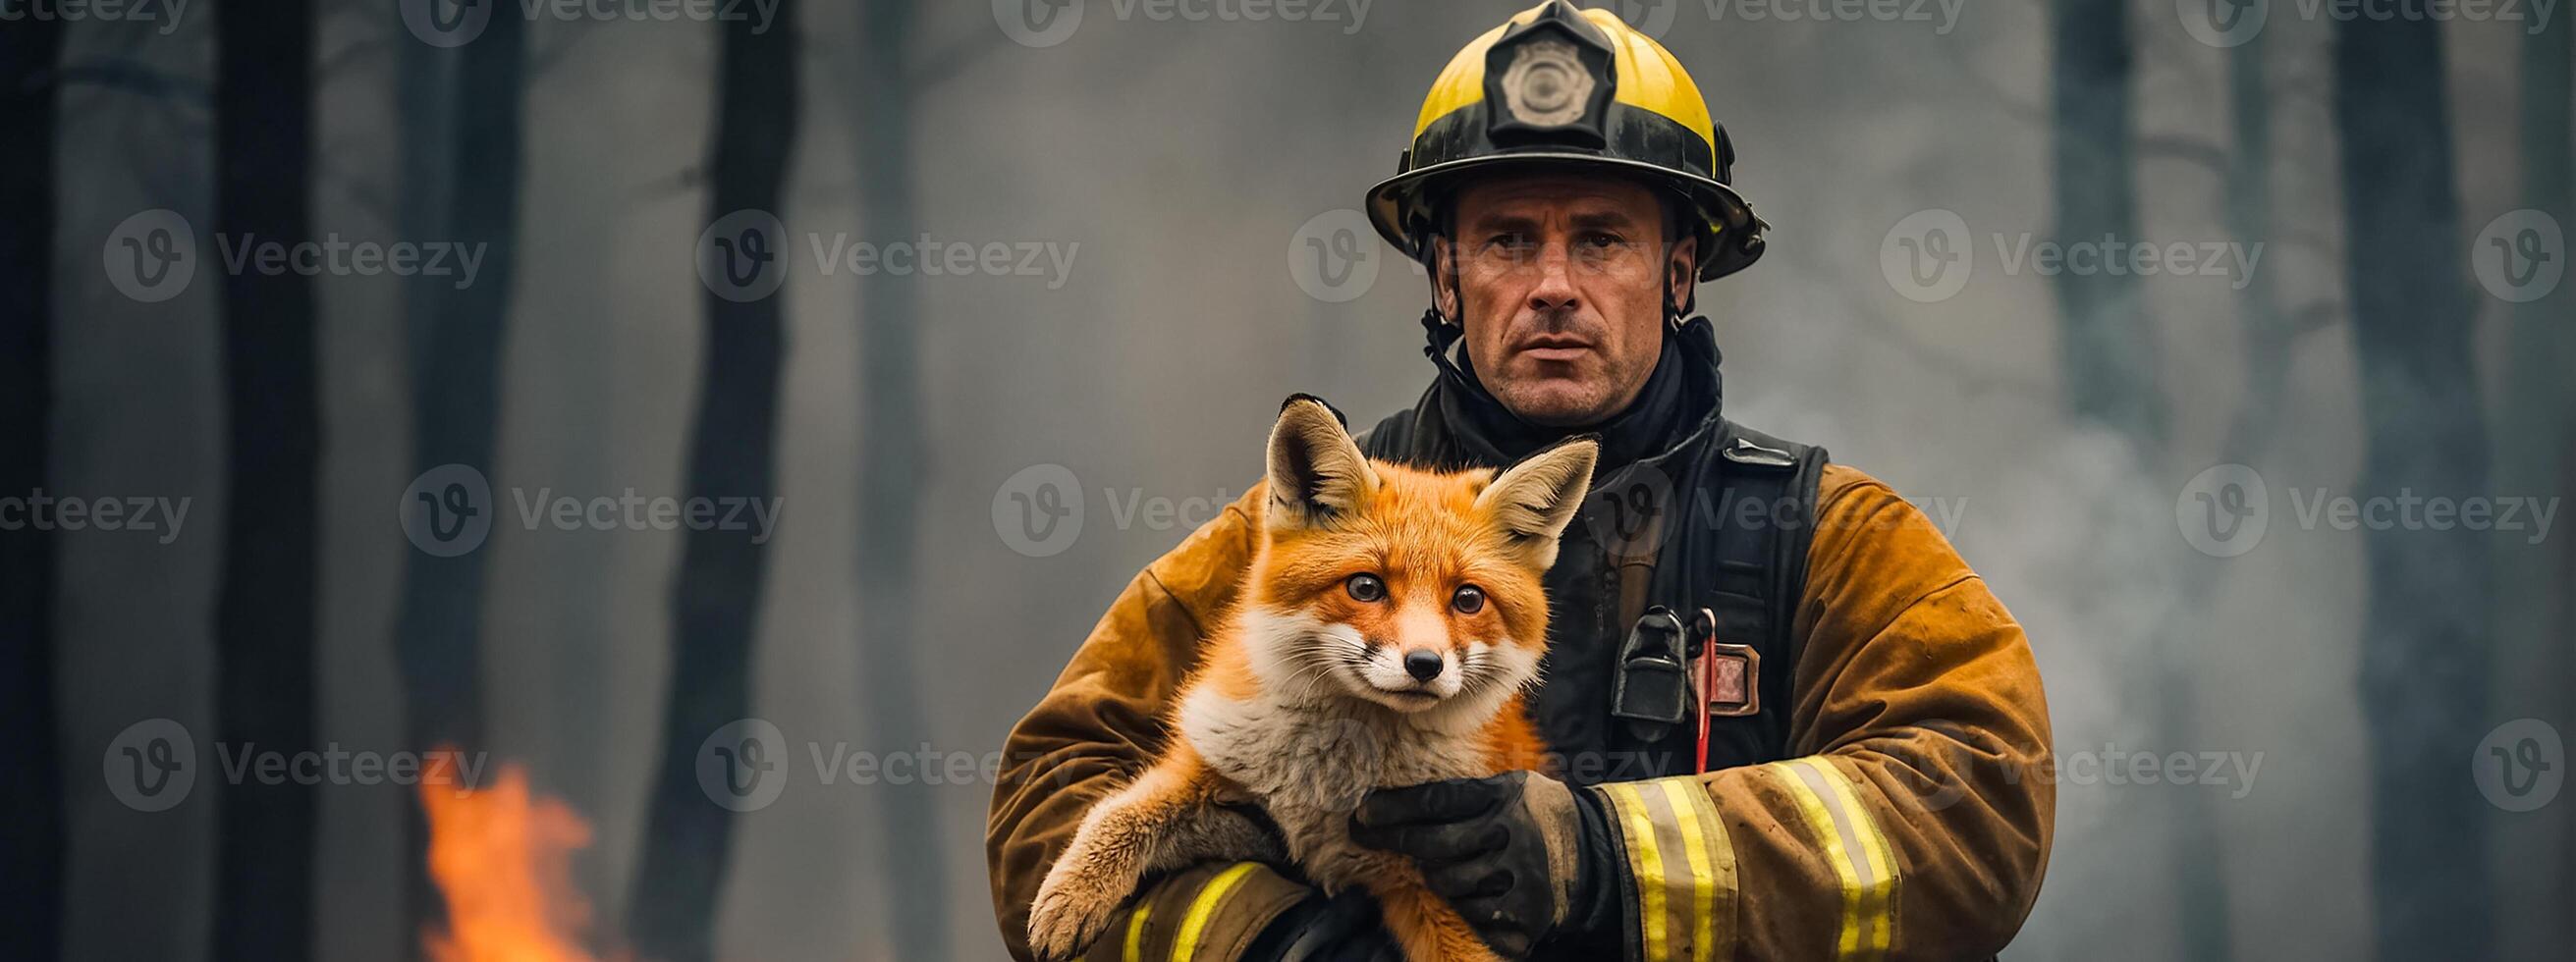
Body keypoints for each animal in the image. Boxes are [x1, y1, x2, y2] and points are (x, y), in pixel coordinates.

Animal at [1019, 393, 1586, 962]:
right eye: (1366, 587)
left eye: (1468, 599)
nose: (1425, 665)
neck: (1328, 782)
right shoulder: (1220, 782)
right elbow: (1119, 813)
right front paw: (1071, 895)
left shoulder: (1444, 878)